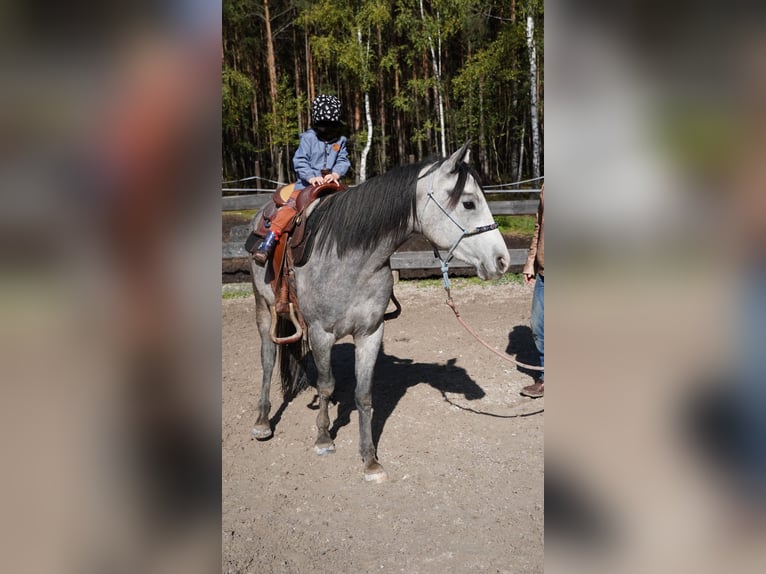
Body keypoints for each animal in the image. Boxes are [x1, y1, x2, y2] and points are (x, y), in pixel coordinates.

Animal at [250, 143, 510, 482]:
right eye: (468, 202)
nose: (502, 260)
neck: (352, 258)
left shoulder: (370, 333)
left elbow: (363, 395)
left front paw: (369, 459)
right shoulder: (321, 332)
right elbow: (326, 384)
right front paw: (323, 439)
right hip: (264, 308)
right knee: (268, 360)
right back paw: (262, 422)